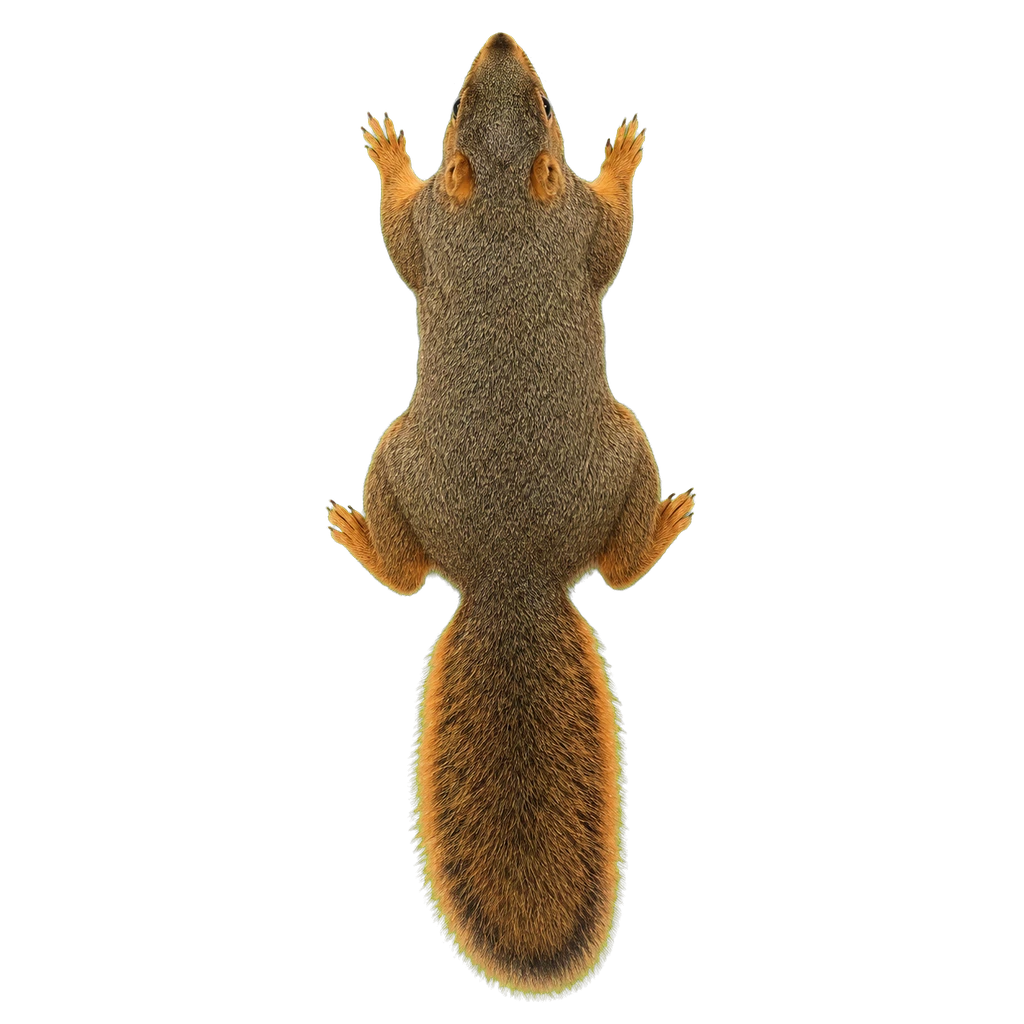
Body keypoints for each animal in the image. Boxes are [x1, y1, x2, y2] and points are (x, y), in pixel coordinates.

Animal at [330, 30, 694, 999]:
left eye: (539, 100)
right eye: (466, 98)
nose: (499, 39)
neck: (499, 210)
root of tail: (510, 574)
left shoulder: (540, 228)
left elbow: (608, 235)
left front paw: (621, 153)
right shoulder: (459, 229)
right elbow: (408, 232)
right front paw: (388, 150)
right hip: (447, 459)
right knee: (424, 576)